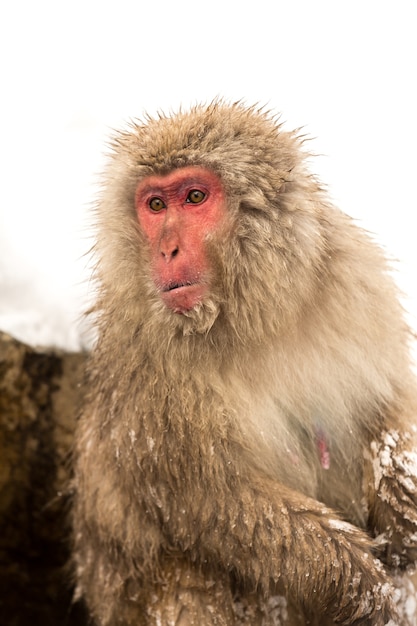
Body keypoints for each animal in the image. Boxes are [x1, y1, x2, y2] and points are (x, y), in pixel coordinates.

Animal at [73, 100, 416, 620]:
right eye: (155, 206)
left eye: (194, 197)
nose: (166, 249)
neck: (250, 321)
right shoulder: (149, 371)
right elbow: (208, 501)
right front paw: (360, 586)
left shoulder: (354, 285)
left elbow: (389, 403)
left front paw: (404, 508)